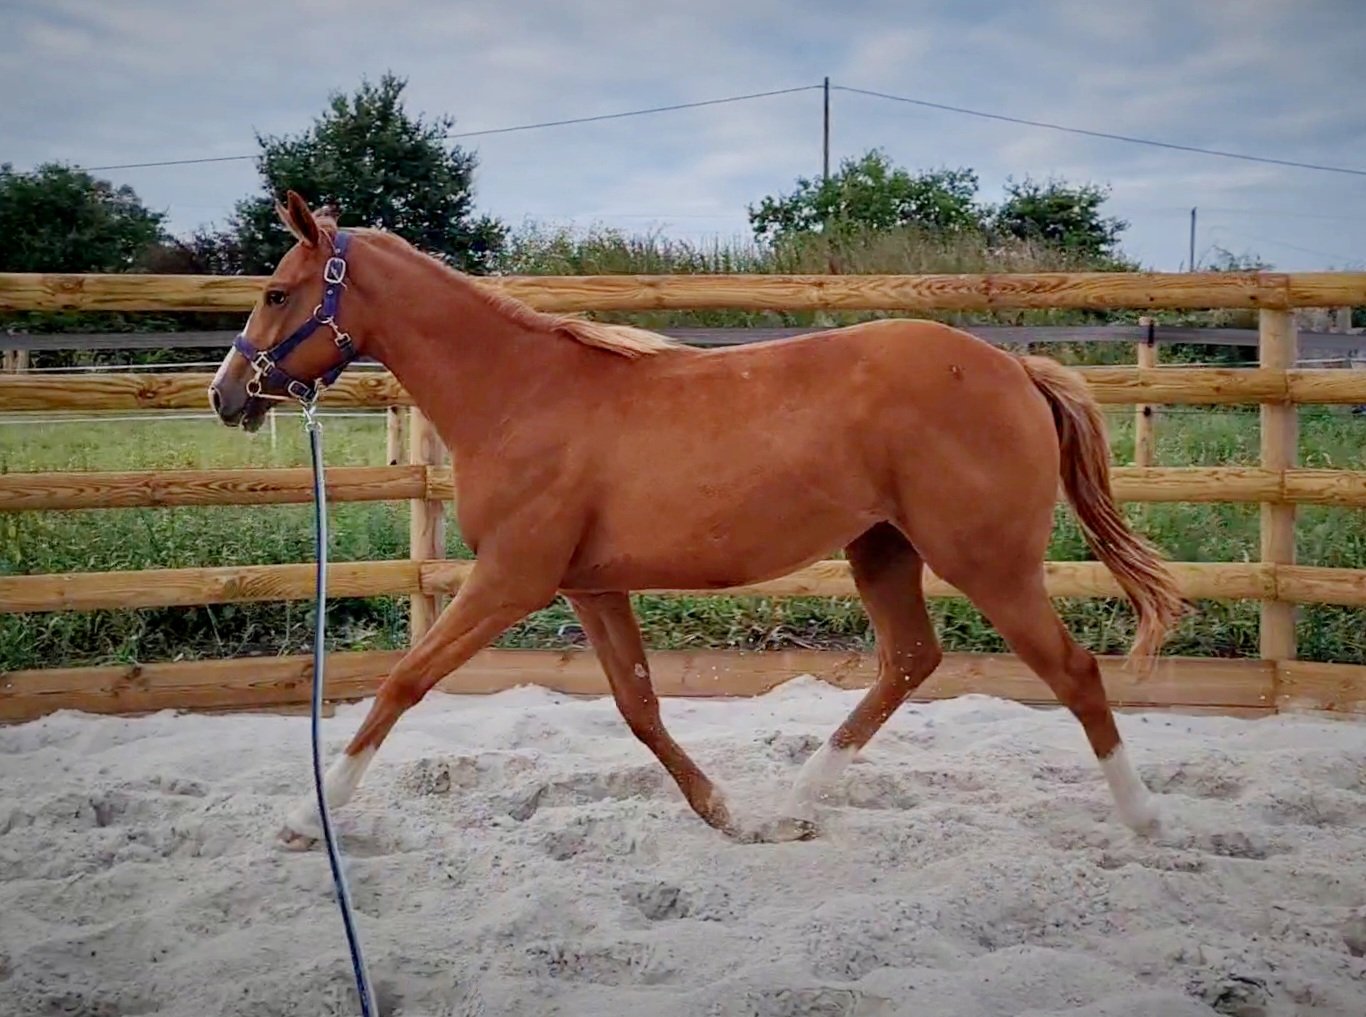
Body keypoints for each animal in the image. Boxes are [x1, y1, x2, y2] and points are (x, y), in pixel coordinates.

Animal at [209, 191, 1186, 847]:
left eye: (277, 291)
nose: (227, 395)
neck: (521, 395)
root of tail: (1015, 369)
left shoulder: (509, 580)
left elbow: (403, 683)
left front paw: (305, 815)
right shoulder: (590, 586)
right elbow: (639, 707)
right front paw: (720, 809)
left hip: (988, 560)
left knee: (1073, 672)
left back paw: (1146, 819)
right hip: (883, 550)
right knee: (911, 660)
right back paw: (792, 805)